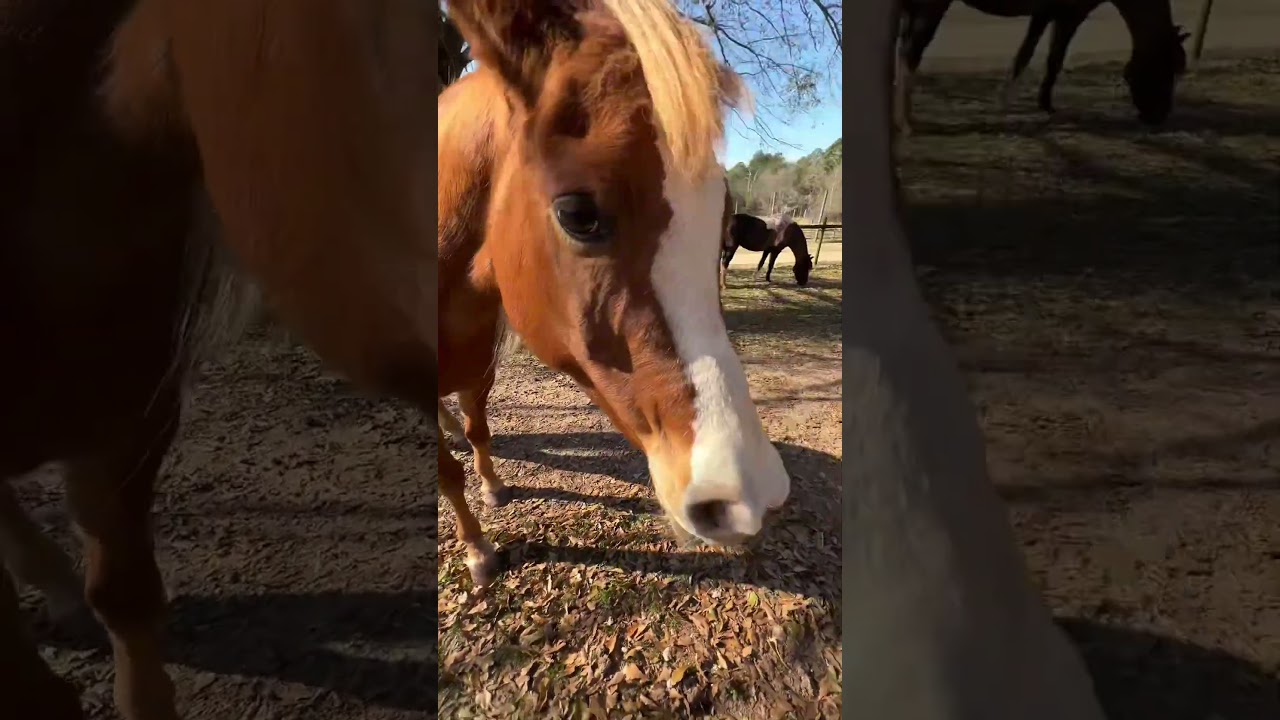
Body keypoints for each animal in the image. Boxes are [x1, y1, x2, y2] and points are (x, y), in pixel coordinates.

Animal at [437, 0, 790, 588]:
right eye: (579, 214)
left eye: (724, 221)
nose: (749, 496)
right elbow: (448, 470)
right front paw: (477, 550)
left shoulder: (479, 365)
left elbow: (477, 428)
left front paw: (491, 488)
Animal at [894, 0, 1189, 133]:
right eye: (1166, 70)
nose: (1158, 117)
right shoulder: (1068, 15)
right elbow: (1047, 57)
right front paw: (1037, 105)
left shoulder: (1048, 13)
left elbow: (1033, 55)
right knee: (910, 55)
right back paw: (907, 123)